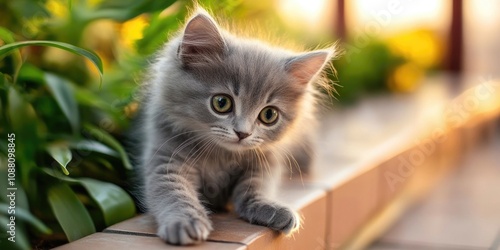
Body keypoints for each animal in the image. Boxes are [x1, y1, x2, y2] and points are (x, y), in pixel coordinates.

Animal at [136, 8, 336, 246]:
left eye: (269, 115)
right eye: (221, 103)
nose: (243, 133)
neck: (220, 155)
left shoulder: (265, 160)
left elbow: (255, 187)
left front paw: (271, 208)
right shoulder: (166, 158)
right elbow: (172, 192)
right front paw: (185, 222)